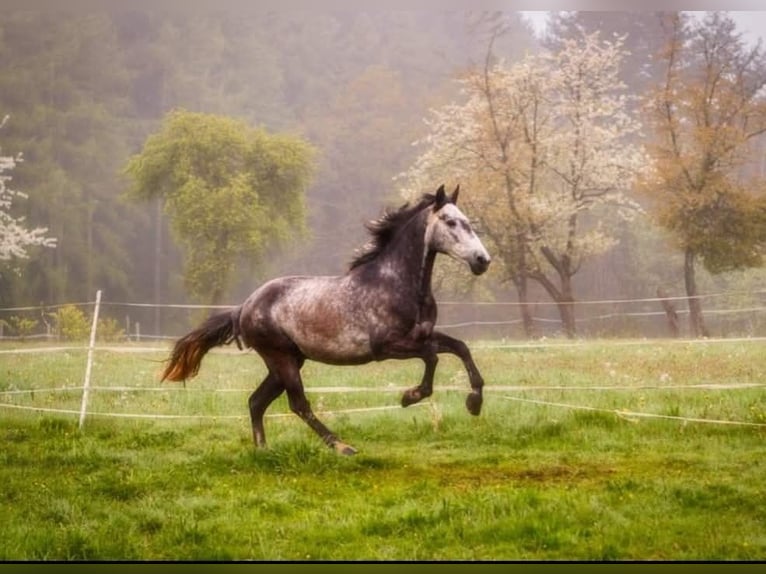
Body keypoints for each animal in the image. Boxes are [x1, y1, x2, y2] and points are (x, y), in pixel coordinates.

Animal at [161, 184, 491, 455]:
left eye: (467, 221)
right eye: (450, 221)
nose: (482, 260)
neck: (396, 283)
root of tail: (243, 307)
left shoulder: (423, 334)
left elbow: (460, 348)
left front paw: (474, 403)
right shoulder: (387, 347)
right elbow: (432, 357)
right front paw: (410, 397)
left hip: (288, 361)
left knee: (257, 401)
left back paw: (263, 451)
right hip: (281, 358)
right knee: (298, 404)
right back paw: (342, 446)